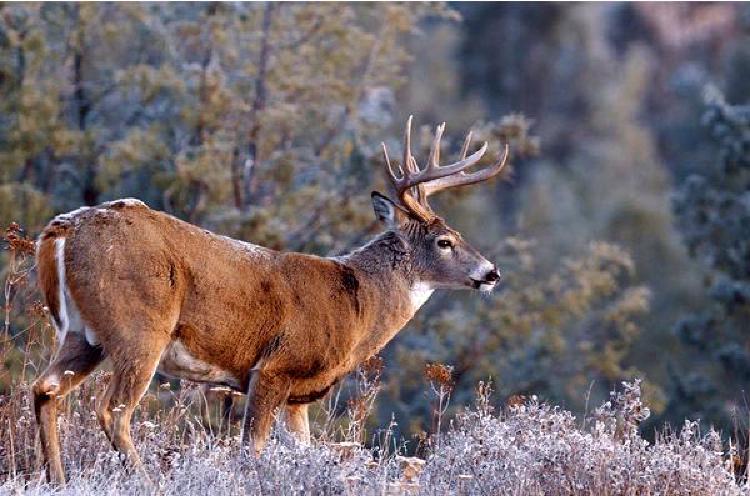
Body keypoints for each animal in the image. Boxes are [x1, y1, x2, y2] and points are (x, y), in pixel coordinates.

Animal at [32, 115, 508, 480]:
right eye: (445, 241)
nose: (491, 272)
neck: (358, 305)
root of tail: (60, 231)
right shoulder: (274, 367)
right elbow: (252, 450)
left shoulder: (298, 397)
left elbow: (302, 451)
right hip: (140, 327)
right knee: (112, 411)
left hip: (82, 334)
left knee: (45, 389)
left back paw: (57, 480)